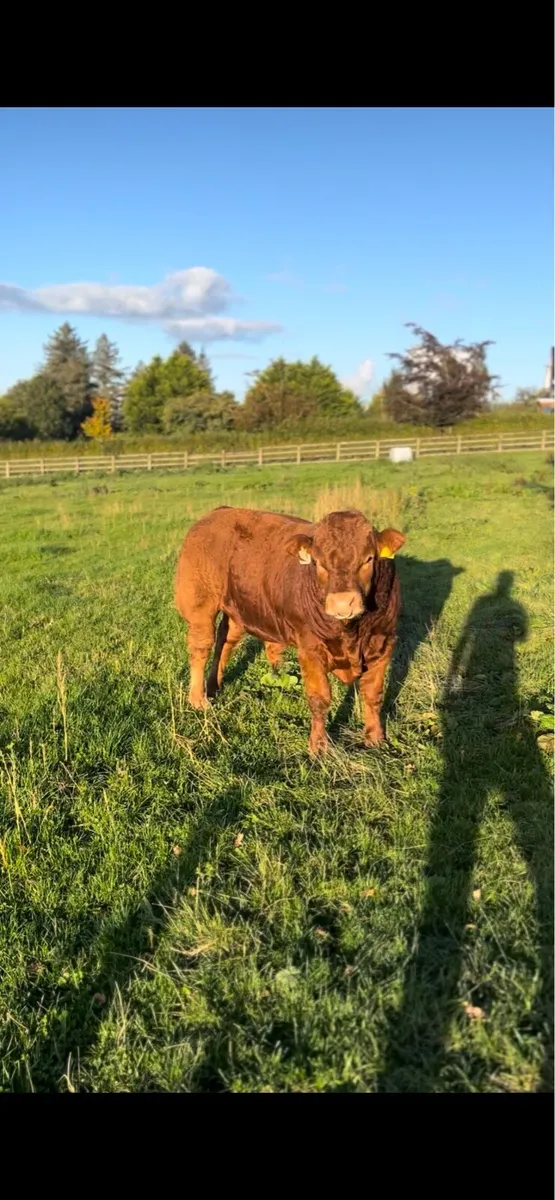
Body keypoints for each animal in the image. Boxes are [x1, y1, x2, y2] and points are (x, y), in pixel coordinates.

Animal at [174, 505, 406, 755]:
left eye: (368, 559)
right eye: (318, 563)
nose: (342, 603)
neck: (351, 631)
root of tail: (218, 512)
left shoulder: (384, 643)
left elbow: (373, 695)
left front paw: (375, 738)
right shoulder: (310, 649)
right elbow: (319, 698)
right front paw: (318, 746)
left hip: (239, 610)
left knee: (225, 642)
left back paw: (213, 686)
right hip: (200, 604)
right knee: (201, 648)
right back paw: (198, 699)